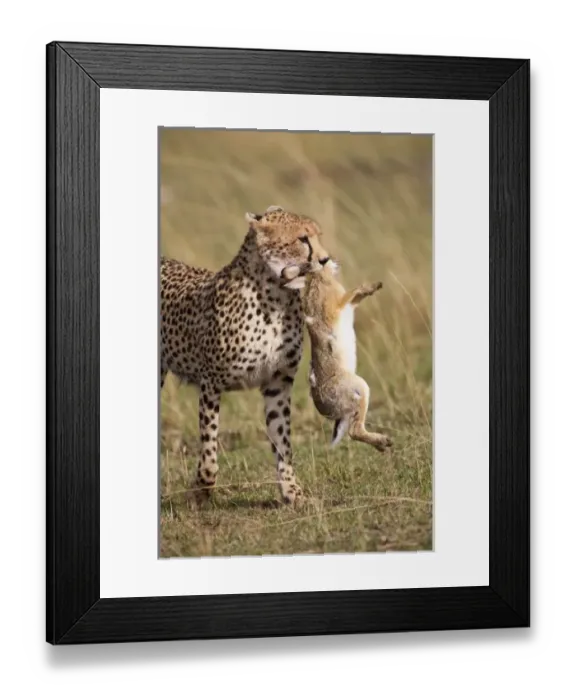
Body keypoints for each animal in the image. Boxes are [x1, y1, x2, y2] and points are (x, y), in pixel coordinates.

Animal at [160, 205, 331, 506]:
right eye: (302, 239)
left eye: (317, 236)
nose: (325, 260)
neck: (275, 296)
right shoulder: (211, 383)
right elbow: (209, 447)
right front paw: (201, 490)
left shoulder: (278, 383)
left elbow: (282, 441)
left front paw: (292, 492)